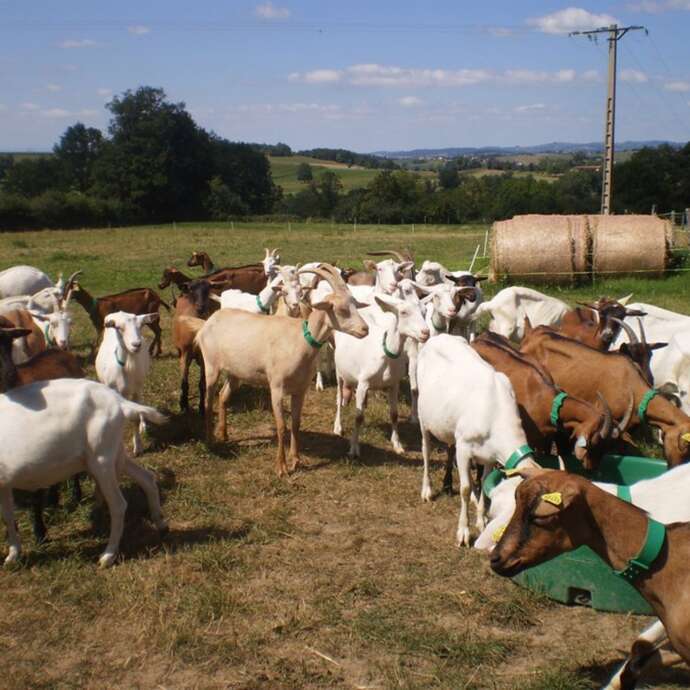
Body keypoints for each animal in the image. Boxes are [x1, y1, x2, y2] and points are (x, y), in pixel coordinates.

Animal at [0, 378, 167, 566]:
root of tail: (120, 402)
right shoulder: (4, 482)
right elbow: (8, 515)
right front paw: (13, 554)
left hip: (101, 459)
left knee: (118, 505)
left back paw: (108, 555)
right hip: (112, 454)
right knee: (147, 478)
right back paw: (160, 523)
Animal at [193, 264, 369, 476]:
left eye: (355, 304)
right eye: (341, 308)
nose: (365, 329)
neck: (300, 339)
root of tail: (209, 322)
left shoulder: (300, 389)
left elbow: (295, 423)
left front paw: (296, 460)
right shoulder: (276, 386)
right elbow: (281, 425)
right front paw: (282, 467)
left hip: (236, 372)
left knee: (223, 395)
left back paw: (224, 434)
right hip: (211, 365)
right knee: (208, 400)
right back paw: (210, 441)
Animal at [333, 292, 430, 458]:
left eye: (424, 312)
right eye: (403, 312)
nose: (426, 333)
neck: (385, 353)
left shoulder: (394, 384)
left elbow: (394, 414)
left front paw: (397, 445)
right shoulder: (363, 382)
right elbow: (358, 416)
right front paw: (353, 448)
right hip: (339, 371)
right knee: (339, 398)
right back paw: (338, 427)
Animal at [417, 334, 539, 546]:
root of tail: (439, 336)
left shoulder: (489, 455)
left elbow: (484, 482)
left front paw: (481, 520)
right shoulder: (464, 448)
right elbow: (465, 489)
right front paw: (463, 532)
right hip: (422, 416)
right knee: (426, 450)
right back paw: (427, 490)